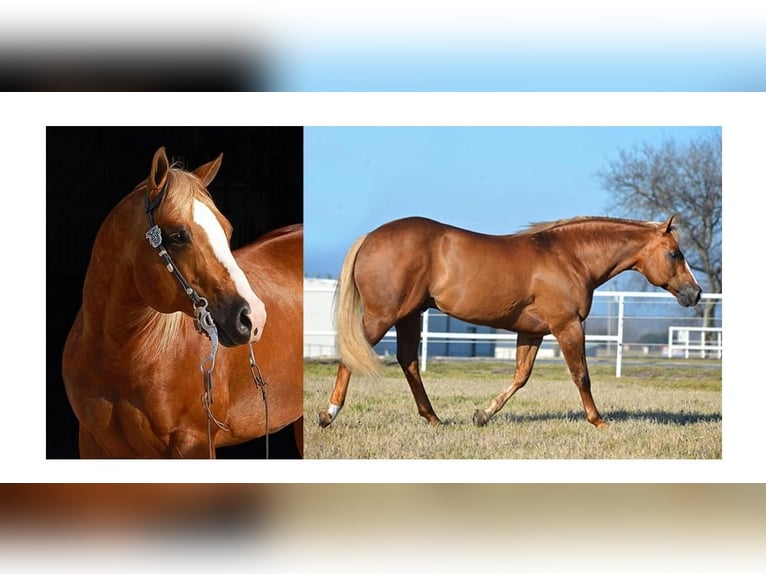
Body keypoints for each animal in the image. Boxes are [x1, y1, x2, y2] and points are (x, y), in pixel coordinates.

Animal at [62, 147, 303, 458]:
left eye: (226, 230)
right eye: (177, 235)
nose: (254, 318)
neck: (118, 356)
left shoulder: (194, 444)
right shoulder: (92, 443)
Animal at [318, 215, 701, 430]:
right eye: (675, 253)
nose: (695, 293)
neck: (570, 257)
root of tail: (370, 237)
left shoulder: (531, 332)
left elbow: (521, 376)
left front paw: (482, 415)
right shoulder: (567, 326)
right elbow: (581, 376)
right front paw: (598, 421)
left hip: (410, 316)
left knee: (409, 361)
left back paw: (433, 418)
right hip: (383, 316)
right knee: (353, 355)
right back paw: (328, 414)